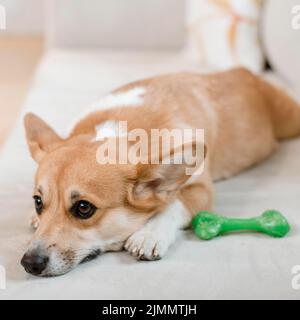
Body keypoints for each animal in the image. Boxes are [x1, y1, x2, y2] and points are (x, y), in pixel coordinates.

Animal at [21, 68, 300, 278]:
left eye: (83, 208)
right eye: (38, 202)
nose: (29, 264)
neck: (121, 133)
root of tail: (245, 72)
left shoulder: (201, 190)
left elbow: (174, 204)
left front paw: (150, 234)